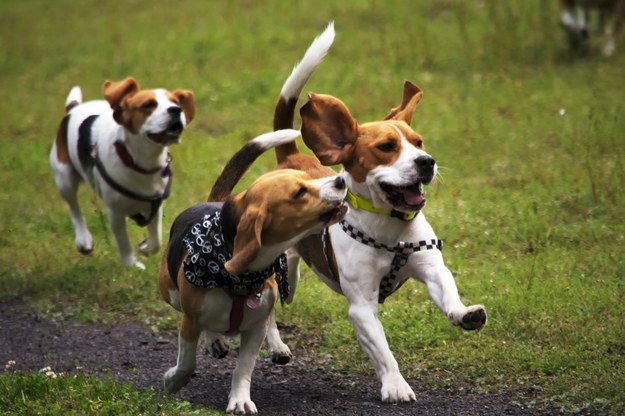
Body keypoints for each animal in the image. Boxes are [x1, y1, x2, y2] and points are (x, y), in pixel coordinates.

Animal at [50, 78, 194, 270]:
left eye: (176, 102)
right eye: (148, 105)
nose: (176, 110)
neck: (139, 162)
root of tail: (73, 108)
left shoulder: (154, 205)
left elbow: (156, 240)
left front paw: (146, 247)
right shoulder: (115, 212)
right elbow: (123, 241)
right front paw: (131, 264)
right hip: (64, 177)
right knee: (74, 208)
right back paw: (84, 240)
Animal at [158, 129, 348, 412]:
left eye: (307, 180)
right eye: (299, 192)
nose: (340, 180)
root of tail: (215, 201)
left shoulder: (255, 327)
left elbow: (244, 367)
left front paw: (240, 400)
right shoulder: (189, 321)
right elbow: (187, 361)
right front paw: (173, 380)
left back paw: (276, 346)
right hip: (170, 293)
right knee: (197, 319)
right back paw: (214, 340)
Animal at [264, 22, 488, 404]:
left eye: (419, 142)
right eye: (387, 147)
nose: (427, 162)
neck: (391, 230)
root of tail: (291, 158)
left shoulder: (431, 267)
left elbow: (447, 292)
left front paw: (463, 313)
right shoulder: (361, 306)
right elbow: (383, 350)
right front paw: (396, 385)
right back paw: (275, 344)